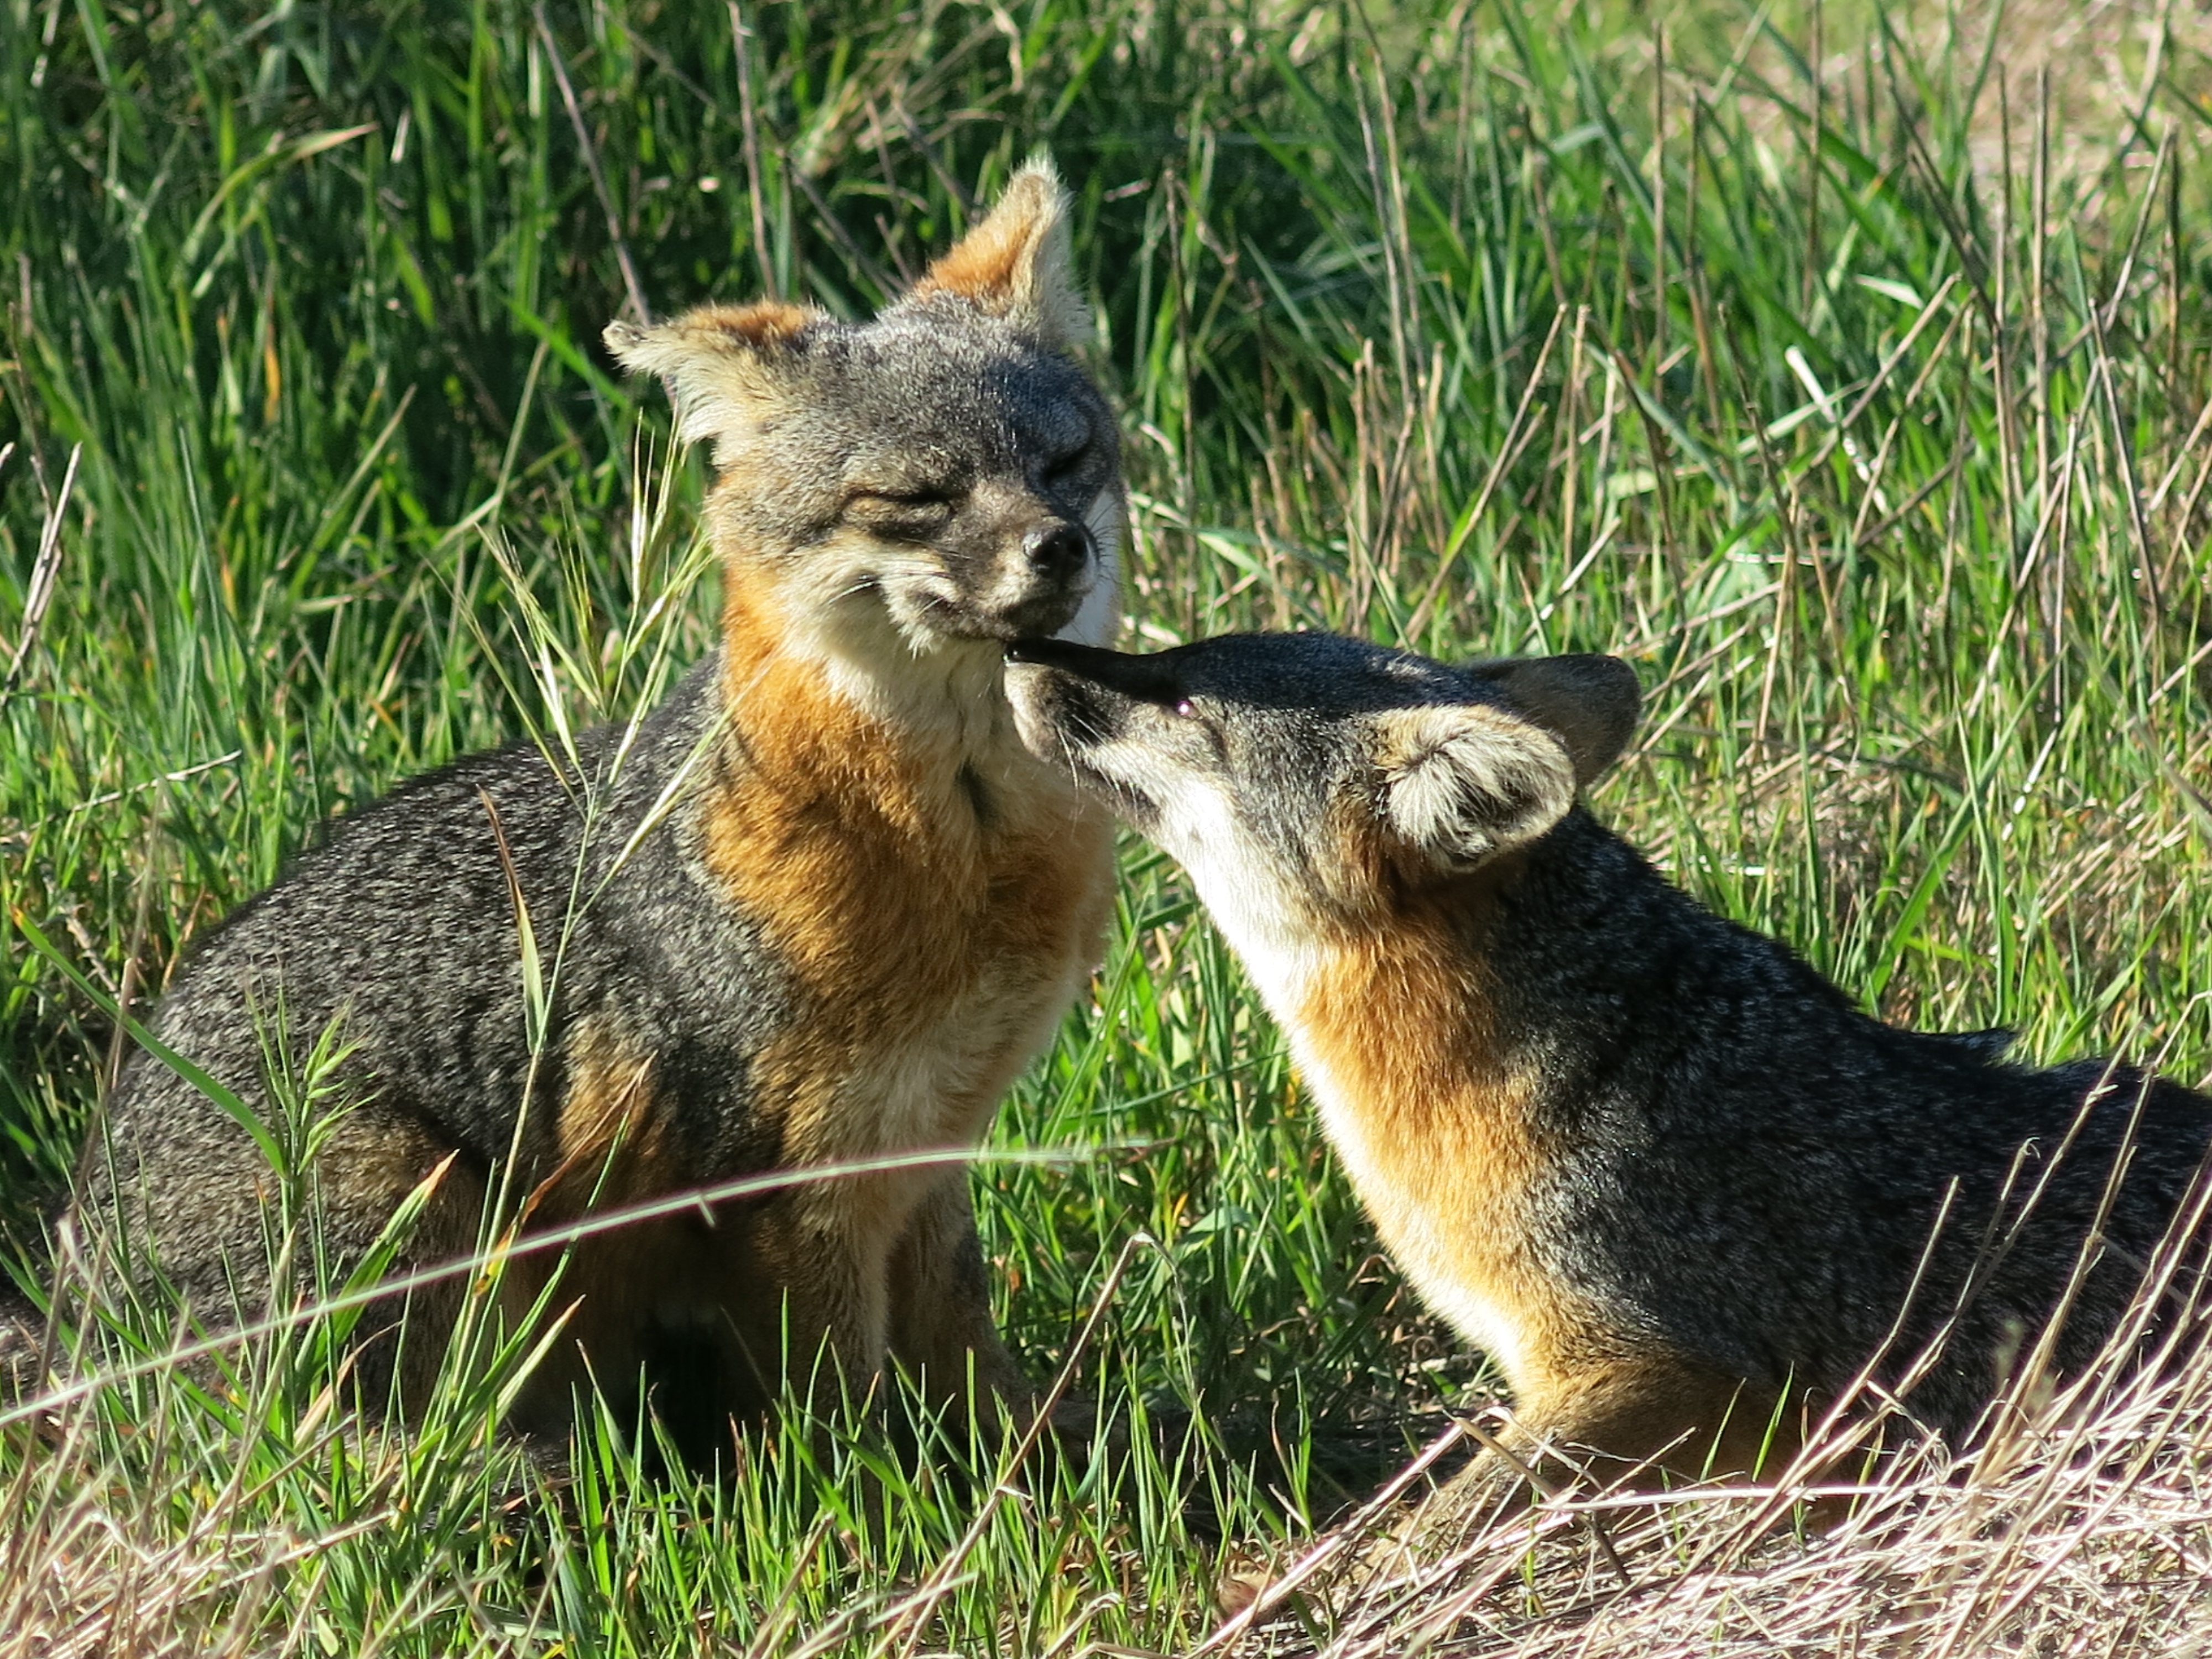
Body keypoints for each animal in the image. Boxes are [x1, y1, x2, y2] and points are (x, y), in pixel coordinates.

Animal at [41, 159, 1125, 1464]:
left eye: (1065, 462)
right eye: (918, 496)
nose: (1056, 548)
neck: (965, 862)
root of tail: (70, 1343)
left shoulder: (927, 1151)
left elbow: (967, 1348)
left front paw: (1040, 1463)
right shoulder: (787, 1186)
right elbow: (837, 1412)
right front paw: (873, 1507)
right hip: (410, 1195)